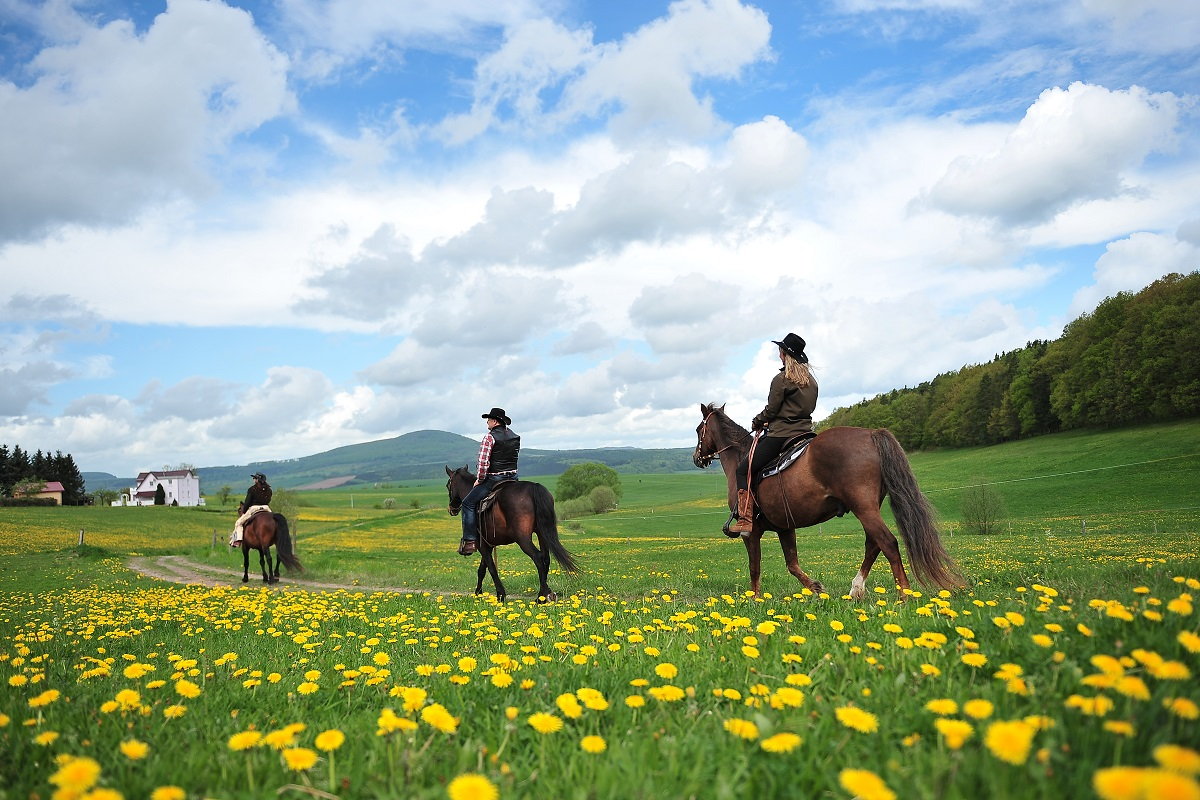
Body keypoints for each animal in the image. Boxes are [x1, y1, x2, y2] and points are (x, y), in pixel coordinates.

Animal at [444, 465, 578, 604]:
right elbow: (482, 569)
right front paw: (478, 593)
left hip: (523, 539)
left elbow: (491, 568)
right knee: (546, 558)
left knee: (538, 557)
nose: (452, 509)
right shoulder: (488, 545)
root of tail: (534, 487)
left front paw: (500, 594)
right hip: (542, 534)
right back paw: (544, 595)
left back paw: (541, 597)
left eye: (448, 485)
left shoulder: (482, 546)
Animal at [691, 407, 960, 599]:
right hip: (868, 508)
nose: (696, 458)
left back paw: (903, 595)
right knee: (873, 544)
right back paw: (856, 589)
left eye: (697, 429)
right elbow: (792, 564)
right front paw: (816, 588)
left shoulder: (751, 531)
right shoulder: (785, 527)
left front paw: (754, 598)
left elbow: (754, 566)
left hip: (863, 508)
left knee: (888, 543)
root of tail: (871, 434)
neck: (741, 456)